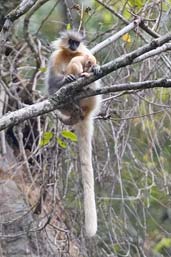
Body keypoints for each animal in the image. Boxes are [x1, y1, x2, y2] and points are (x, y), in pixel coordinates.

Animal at [45, 29, 101, 236]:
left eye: (77, 42)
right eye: (71, 41)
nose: (74, 46)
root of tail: (85, 113)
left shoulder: (85, 53)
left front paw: (94, 68)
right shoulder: (55, 57)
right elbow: (52, 84)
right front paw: (66, 80)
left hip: (91, 99)